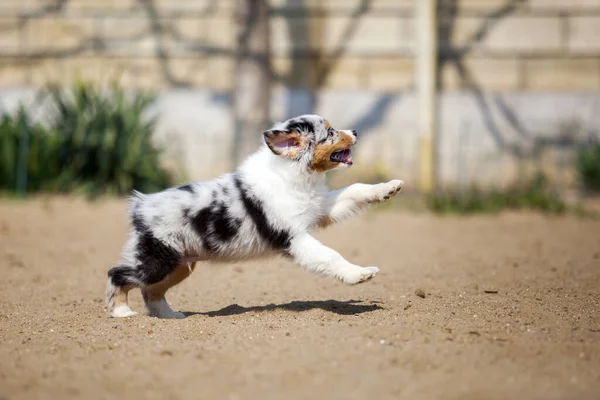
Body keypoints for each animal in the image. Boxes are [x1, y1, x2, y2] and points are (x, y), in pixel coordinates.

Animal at [104, 115, 404, 318]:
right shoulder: (294, 238)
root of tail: (140, 205)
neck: (291, 174)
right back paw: (121, 312)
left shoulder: (320, 208)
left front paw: (389, 187)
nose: (355, 131)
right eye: (330, 133)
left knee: (151, 291)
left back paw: (170, 317)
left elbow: (355, 190)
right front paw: (360, 274)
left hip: (179, 264)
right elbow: (330, 256)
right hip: (157, 260)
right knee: (118, 274)